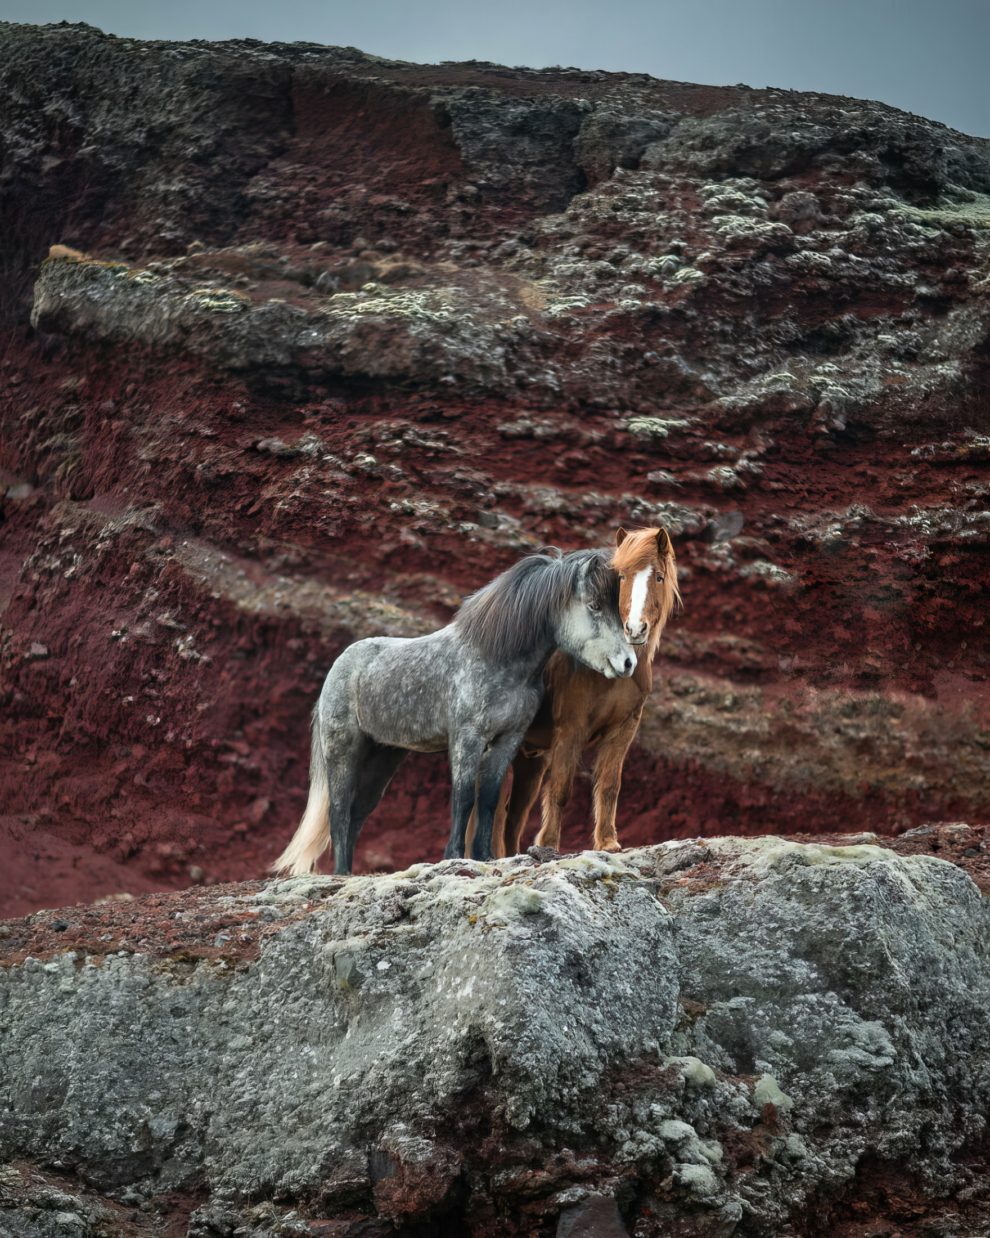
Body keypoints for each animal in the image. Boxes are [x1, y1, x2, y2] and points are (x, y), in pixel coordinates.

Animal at [272, 547, 633, 876]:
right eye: (594, 605)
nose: (628, 662)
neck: (496, 657)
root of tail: (339, 666)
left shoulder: (507, 740)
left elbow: (488, 798)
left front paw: (485, 856)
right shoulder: (467, 738)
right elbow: (464, 797)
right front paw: (454, 856)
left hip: (384, 756)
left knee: (358, 813)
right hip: (343, 751)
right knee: (339, 810)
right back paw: (341, 874)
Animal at [490, 527, 678, 856]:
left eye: (658, 577)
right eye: (622, 576)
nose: (635, 629)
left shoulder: (624, 729)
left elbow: (610, 785)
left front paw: (608, 842)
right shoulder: (571, 729)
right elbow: (561, 788)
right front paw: (548, 844)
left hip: (530, 760)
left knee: (513, 816)